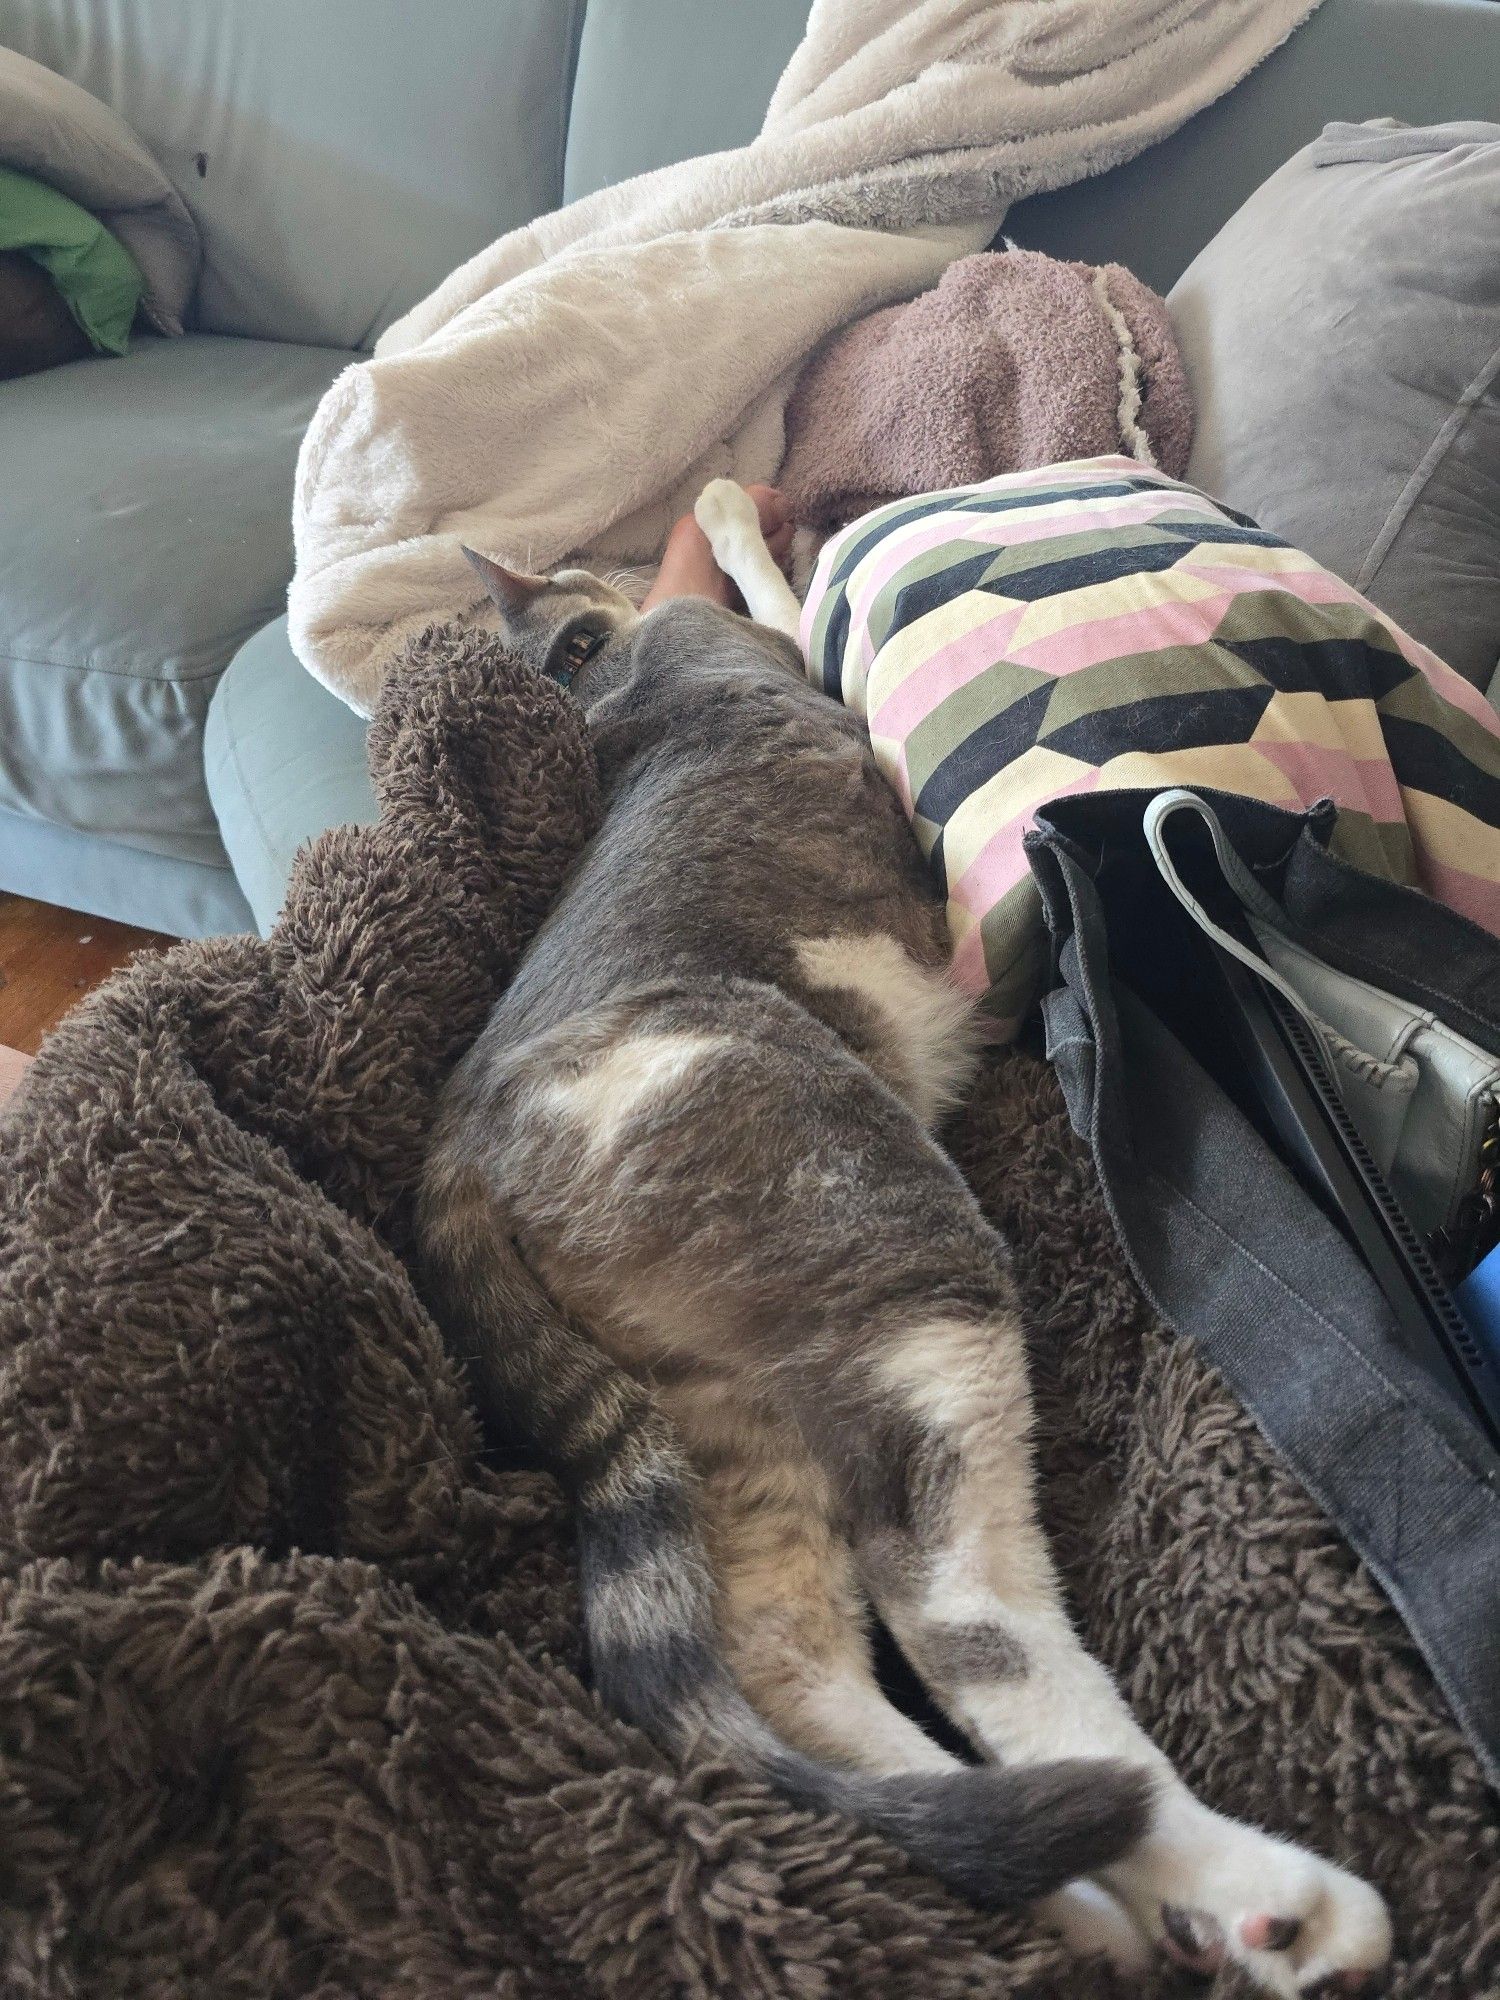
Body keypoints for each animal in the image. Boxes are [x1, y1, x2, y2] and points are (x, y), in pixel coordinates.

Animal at [418, 476, 1392, 1992]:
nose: (608, 566)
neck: (596, 693)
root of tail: (455, 1146)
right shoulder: (763, 654)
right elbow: (785, 598)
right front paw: (733, 516)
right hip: (896, 1250)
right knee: (966, 1619)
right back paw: (1250, 1894)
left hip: (727, 1401)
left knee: (781, 1653)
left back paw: (1067, 1896)